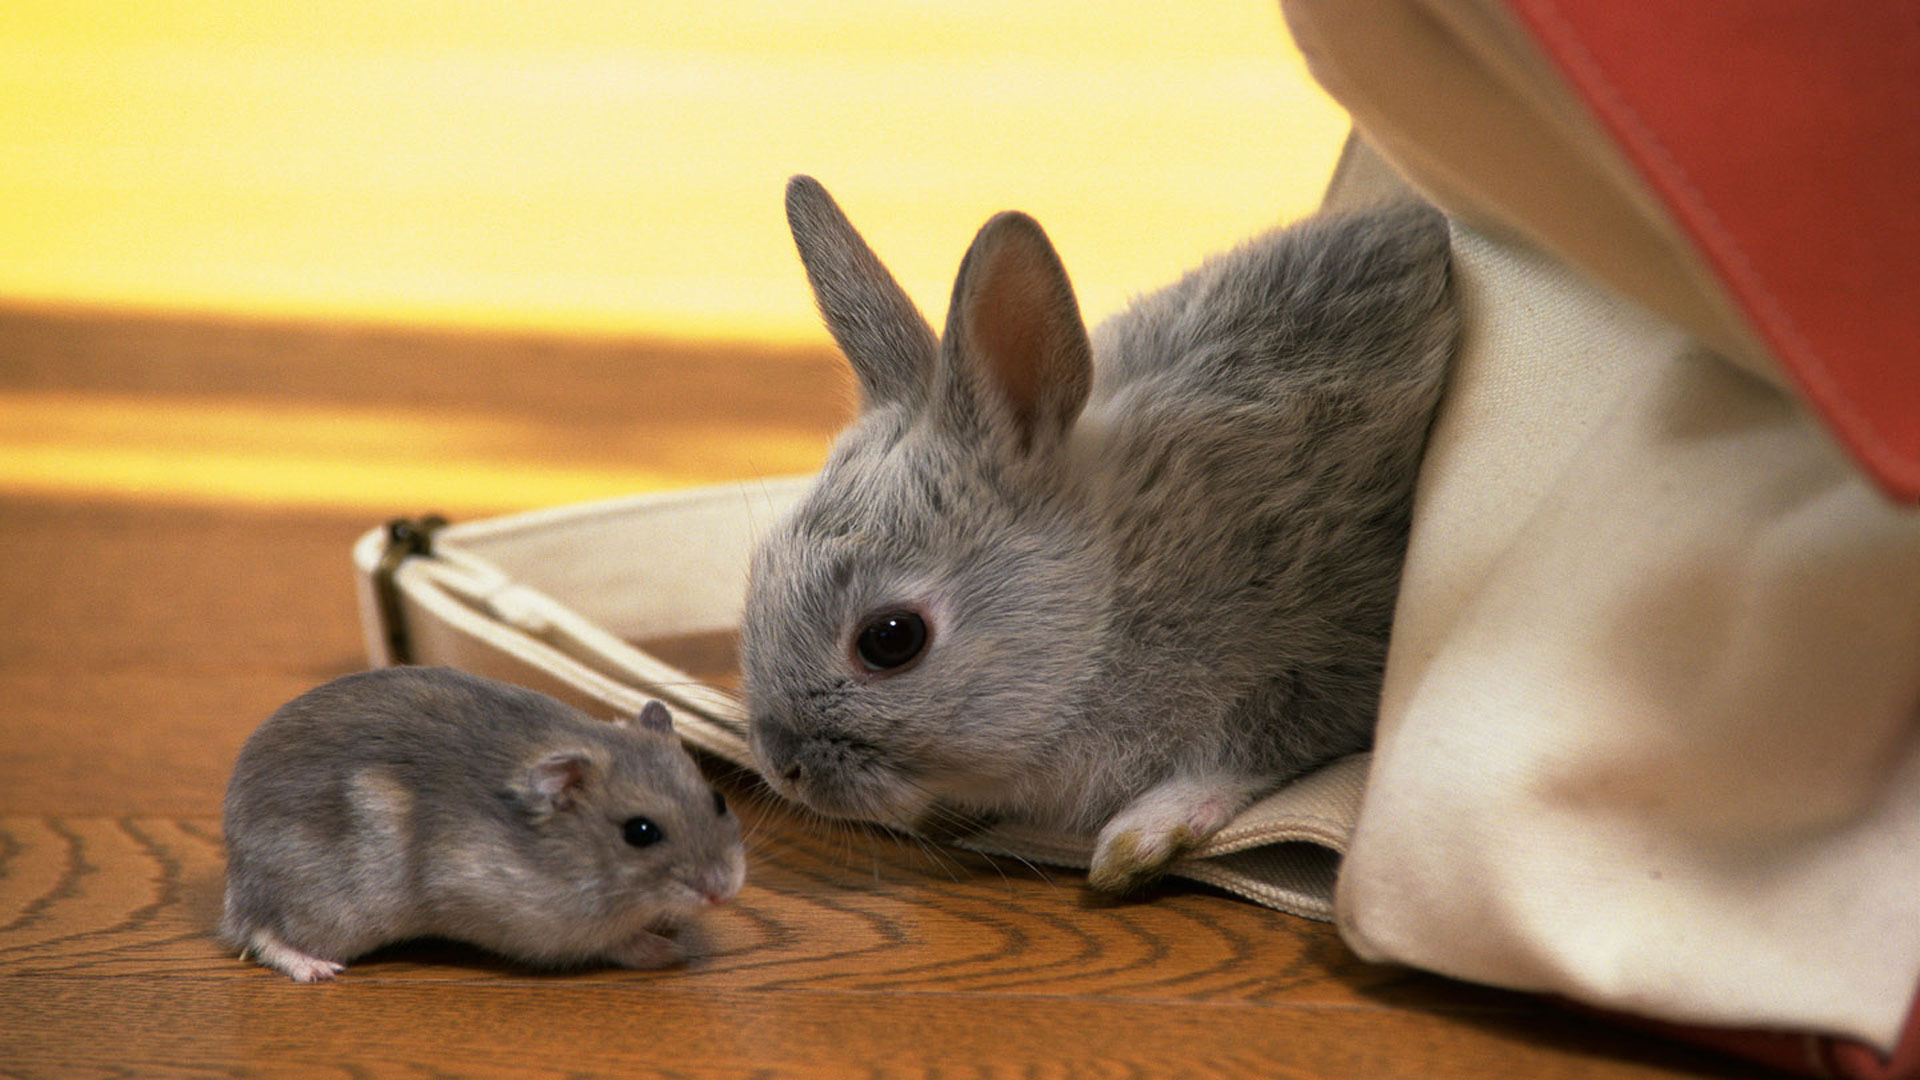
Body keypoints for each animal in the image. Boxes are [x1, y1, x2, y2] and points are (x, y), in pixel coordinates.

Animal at [217, 664, 741, 976]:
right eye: (640, 832)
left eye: (718, 800)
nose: (725, 892)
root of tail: (237, 873)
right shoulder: (541, 928)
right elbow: (615, 943)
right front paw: (668, 951)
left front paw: (670, 930)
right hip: (333, 910)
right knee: (261, 933)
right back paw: (317, 970)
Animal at [737, 174, 1451, 883]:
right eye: (758, 571)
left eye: (890, 639)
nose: (783, 768)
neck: (1108, 600)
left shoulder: (1323, 645)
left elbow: (1246, 753)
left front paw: (1138, 840)